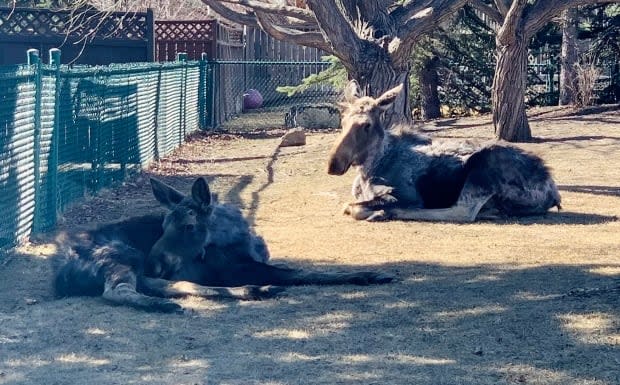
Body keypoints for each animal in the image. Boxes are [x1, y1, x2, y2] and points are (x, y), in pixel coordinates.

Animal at [54, 177, 392, 312]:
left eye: (189, 225)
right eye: (162, 225)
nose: (155, 263)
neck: (238, 238)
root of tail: (62, 275)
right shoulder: (237, 268)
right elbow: (302, 273)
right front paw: (369, 275)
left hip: (133, 263)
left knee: (165, 285)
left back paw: (254, 291)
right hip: (124, 256)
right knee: (119, 290)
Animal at [330, 79, 560, 220]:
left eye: (366, 124)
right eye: (343, 120)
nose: (334, 164)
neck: (369, 169)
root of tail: (553, 192)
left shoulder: (406, 195)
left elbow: (352, 207)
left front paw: (380, 211)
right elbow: (349, 205)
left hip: (484, 167)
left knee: (463, 211)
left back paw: (387, 213)